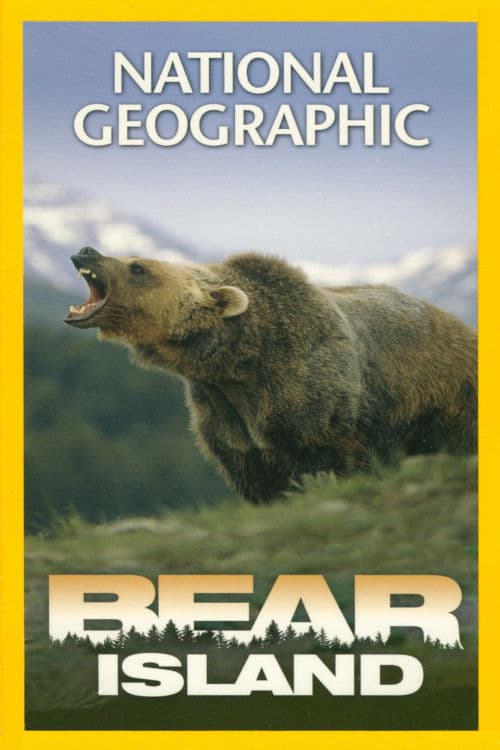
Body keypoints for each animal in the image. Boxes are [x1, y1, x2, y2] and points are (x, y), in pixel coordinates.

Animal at [64, 246, 477, 504]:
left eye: (138, 266)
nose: (87, 251)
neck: (236, 366)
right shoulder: (225, 418)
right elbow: (257, 478)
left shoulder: (313, 404)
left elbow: (334, 463)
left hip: (446, 401)